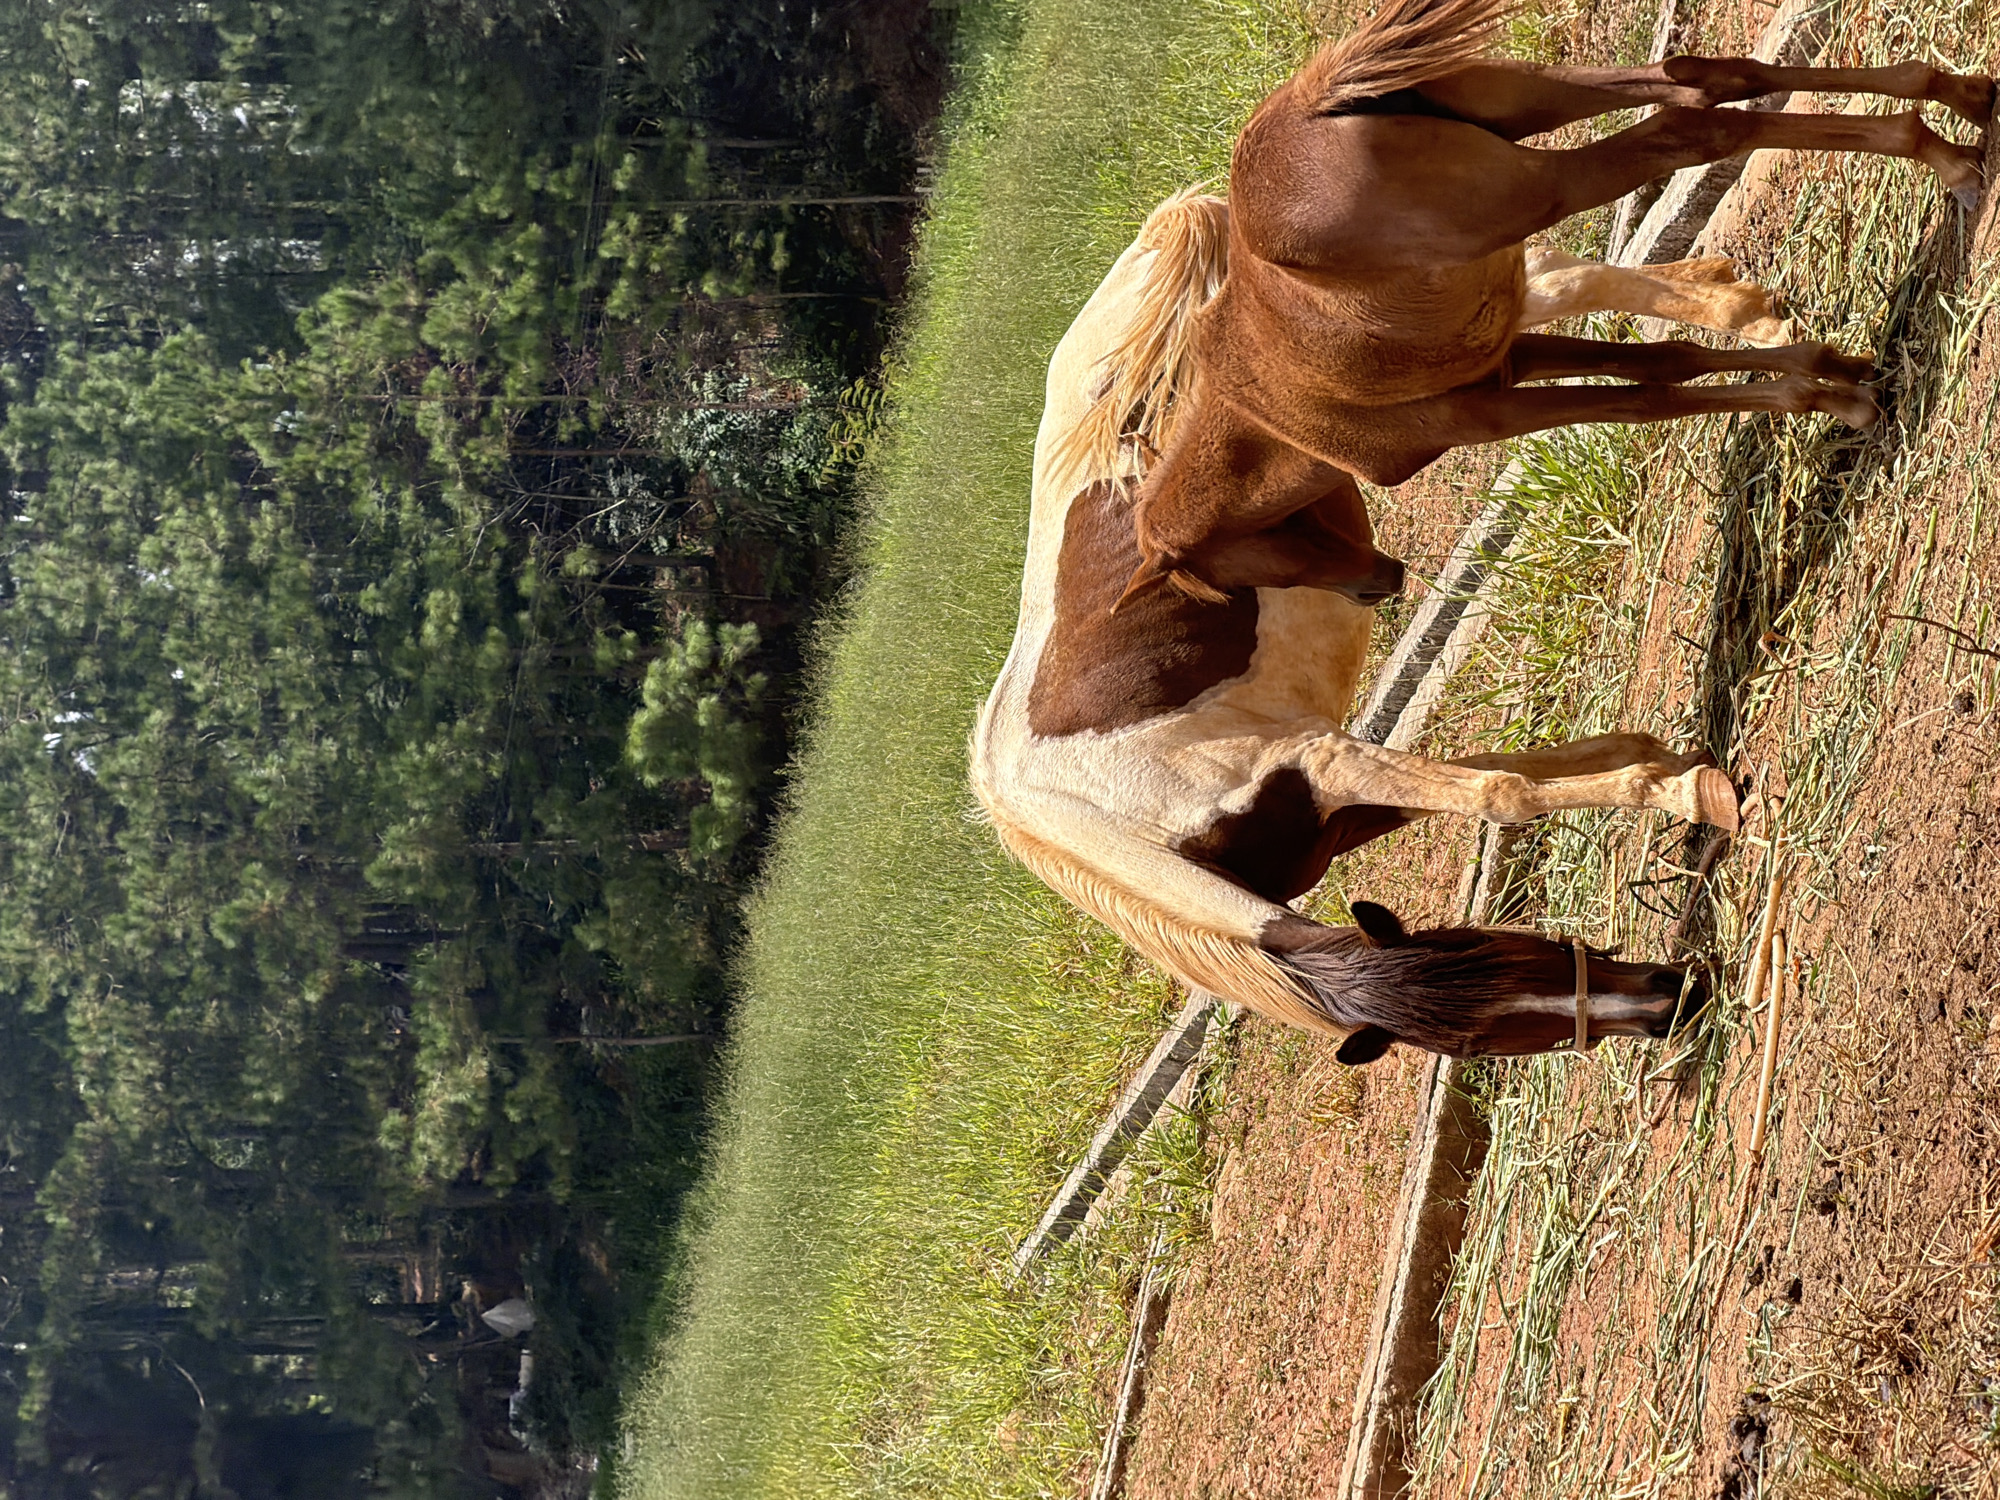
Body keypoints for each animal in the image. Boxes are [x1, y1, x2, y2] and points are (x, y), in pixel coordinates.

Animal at [1120, 0, 1993, 605]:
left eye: (1235, 582)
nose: (1381, 585)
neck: (1271, 416)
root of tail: (1308, 101)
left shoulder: (1486, 413)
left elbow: (1646, 402)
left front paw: (1833, 397)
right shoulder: (1509, 358)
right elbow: (1667, 362)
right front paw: (1831, 372)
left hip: (1539, 185)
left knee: (1693, 128)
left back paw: (1943, 156)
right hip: (1529, 98)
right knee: (1709, 78)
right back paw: (1961, 97)